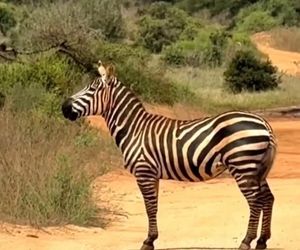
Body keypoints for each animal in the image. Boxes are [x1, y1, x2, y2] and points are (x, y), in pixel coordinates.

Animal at [61, 60, 276, 250]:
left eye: (91, 89)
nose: (64, 108)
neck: (134, 129)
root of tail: (263, 123)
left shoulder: (144, 171)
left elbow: (149, 206)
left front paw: (148, 241)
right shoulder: (152, 174)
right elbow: (154, 206)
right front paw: (152, 239)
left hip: (242, 165)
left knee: (256, 201)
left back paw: (246, 241)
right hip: (257, 169)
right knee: (268, 198)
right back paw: (262, 241)